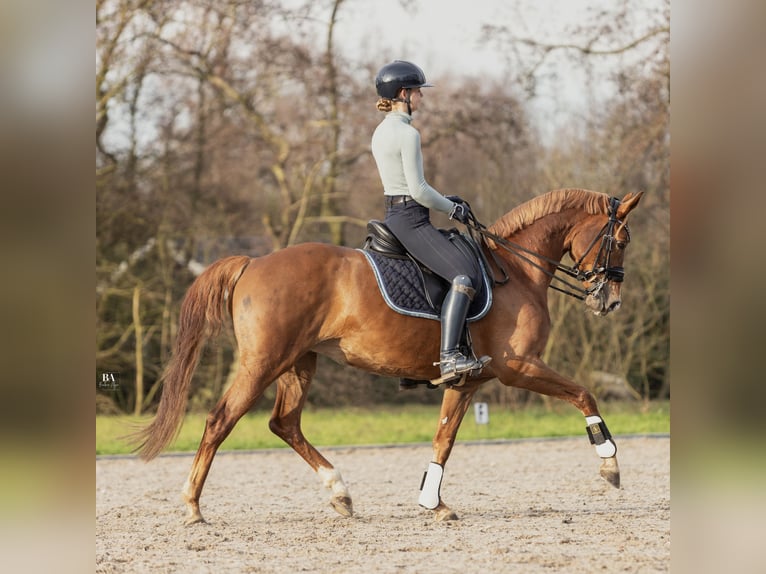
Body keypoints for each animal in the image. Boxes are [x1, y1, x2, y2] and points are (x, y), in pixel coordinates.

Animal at [135, 189, 644, 528]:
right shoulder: (518, 366)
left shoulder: (468, 382)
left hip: (299, 364)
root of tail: (253, 263)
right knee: (221, 419)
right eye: (621, 239)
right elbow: (584, 393)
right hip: (264, 363)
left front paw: (433, 502)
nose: (611, 301)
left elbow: (444, 439)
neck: (515, 270)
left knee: (284, 423)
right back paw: (193, 506)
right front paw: (611, 466)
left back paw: (340, 494)